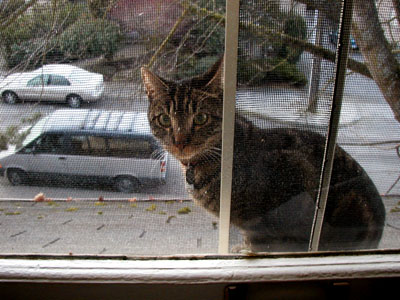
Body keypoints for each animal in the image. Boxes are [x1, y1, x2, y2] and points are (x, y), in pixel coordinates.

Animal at [142, 58, 386, 251]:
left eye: (201, 118)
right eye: (165, 119)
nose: (180, 142)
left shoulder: (263, 218)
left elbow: (257, 242)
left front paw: (244, 250)